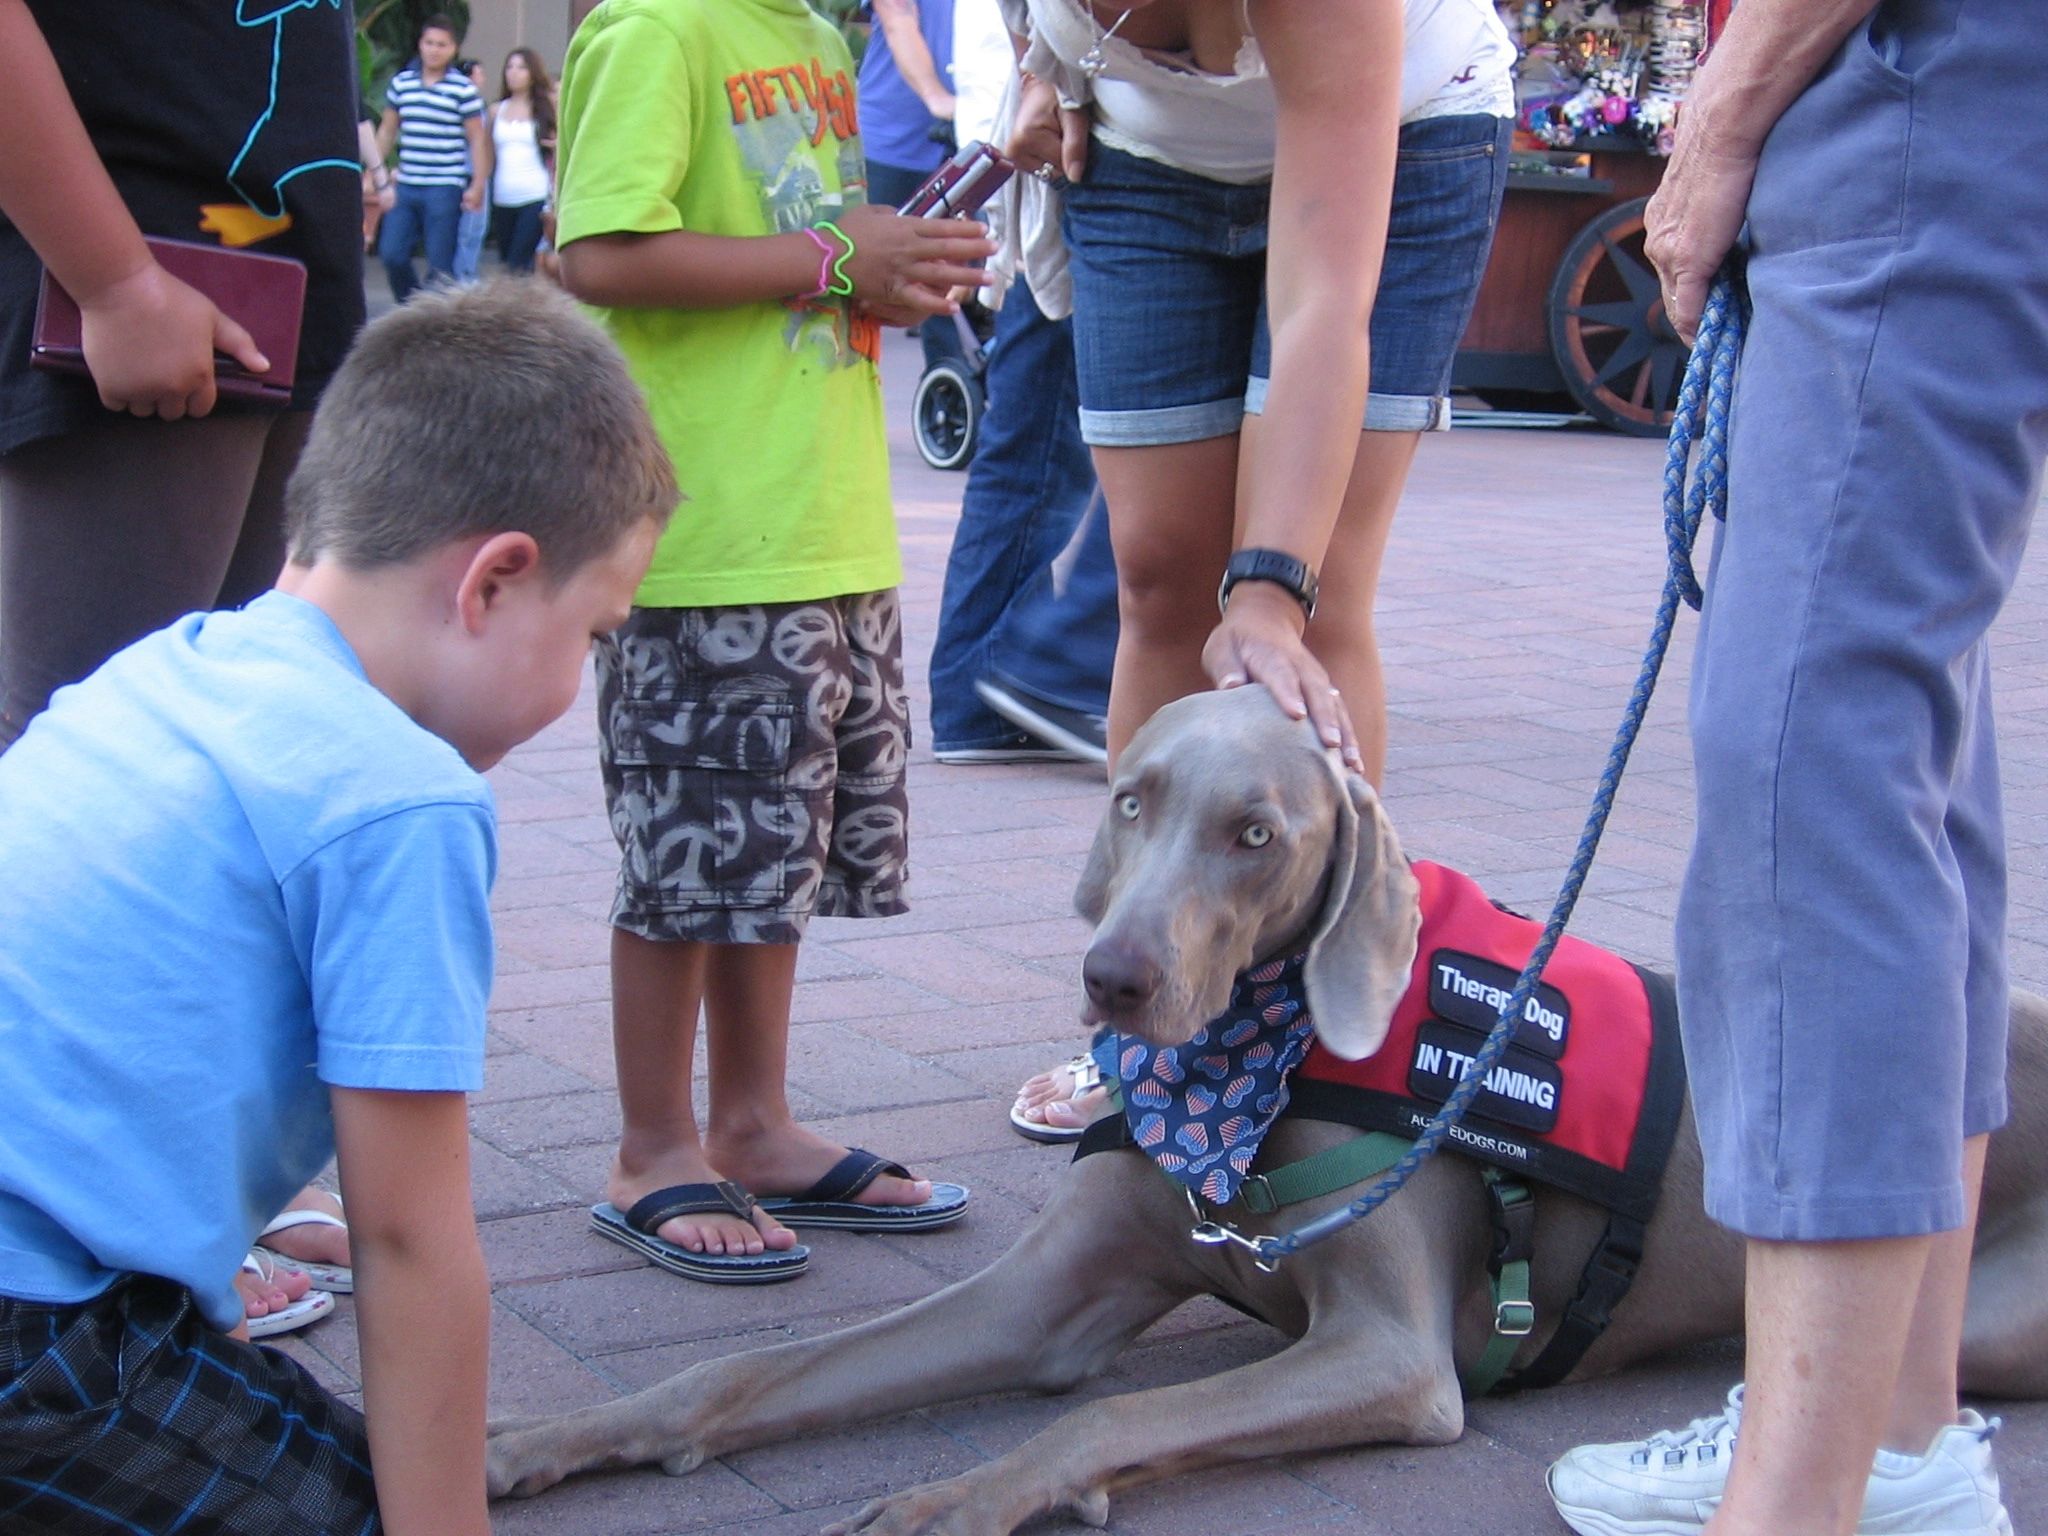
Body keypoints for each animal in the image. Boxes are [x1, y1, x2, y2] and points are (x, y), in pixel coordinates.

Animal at [483, 696, 2048, 1536]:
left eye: (1258, 837)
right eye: (1129, 797)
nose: (1115, 979)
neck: (1245, 1080)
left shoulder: (1395, 1359)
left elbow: (1114, 1414)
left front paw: (961, 1496)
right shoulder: (1047, 1300)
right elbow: (745, 1373)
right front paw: (544, 1443)